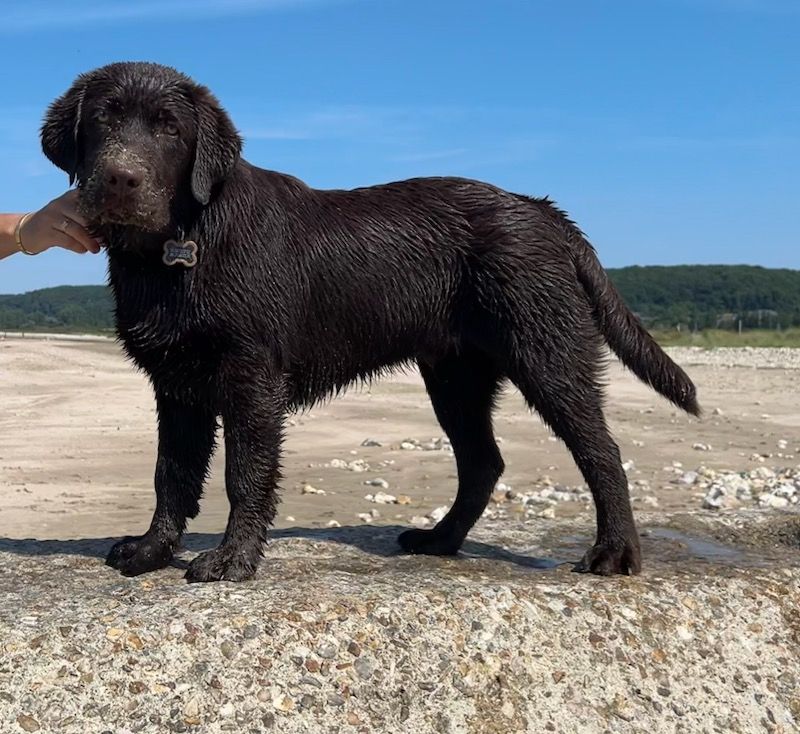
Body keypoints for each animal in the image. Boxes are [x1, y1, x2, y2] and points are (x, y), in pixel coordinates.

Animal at [40, 63, 696, 584]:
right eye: (101, 120)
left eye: (170, 129)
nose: (121, 179)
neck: (179, 246)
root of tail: (542, 210)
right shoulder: (176, 384)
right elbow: (171, 473)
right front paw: (151, 551)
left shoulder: (251, 375)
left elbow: (245, 472)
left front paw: (232, 561)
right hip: (456, 376)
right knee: (483, 461)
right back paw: (440, 540)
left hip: (546, 352)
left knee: (600, 449)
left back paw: (614, 552)